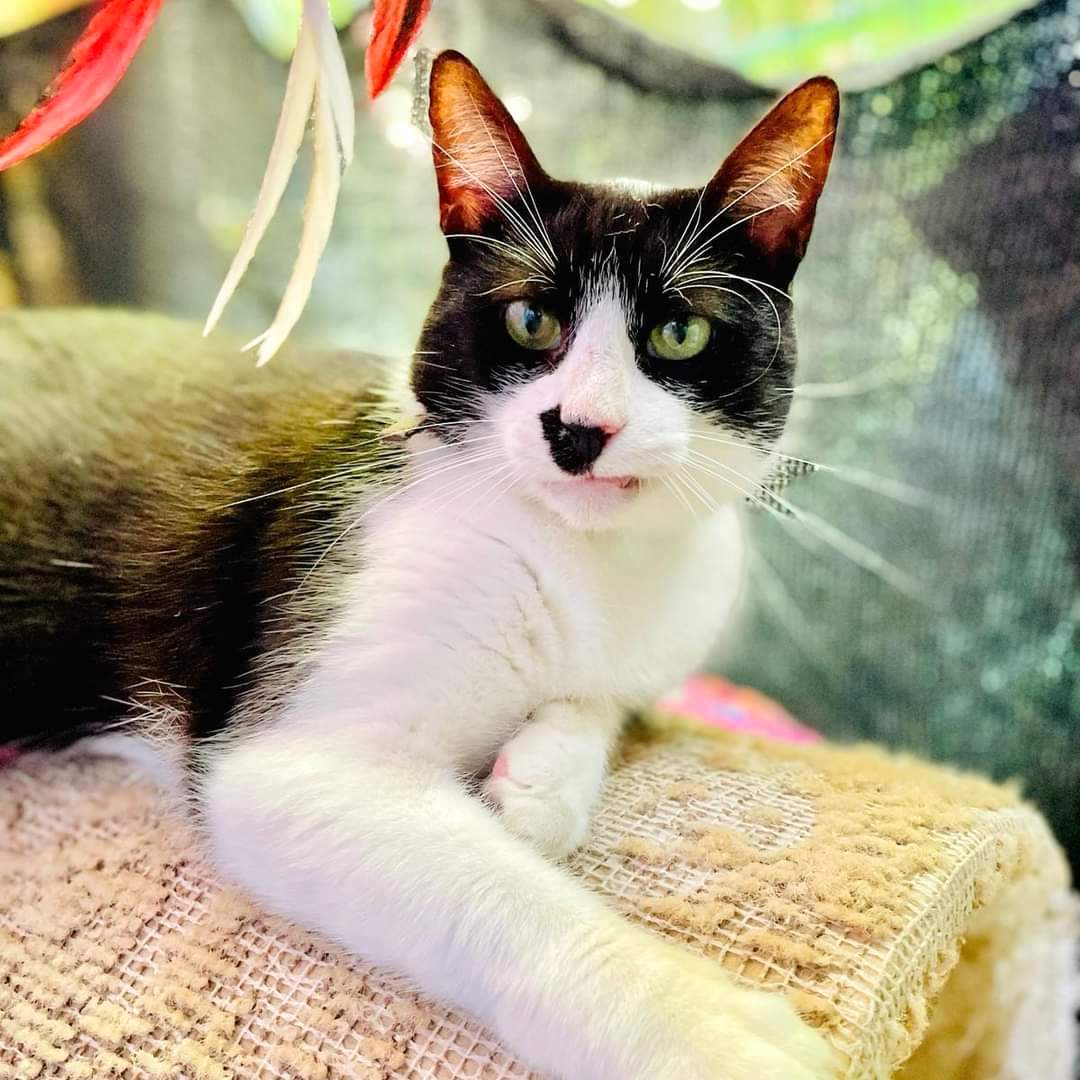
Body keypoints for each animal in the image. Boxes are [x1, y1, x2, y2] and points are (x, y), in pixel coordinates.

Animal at [0, 46, 838, 1075]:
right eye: (529, 321)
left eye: (679, 333)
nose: (579, 429)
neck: (585, 559)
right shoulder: (297, 735)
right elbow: (497, 897)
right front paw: (701, 1024)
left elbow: (604, 696)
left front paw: (544, 780)